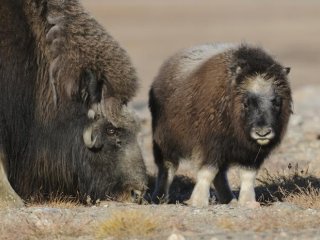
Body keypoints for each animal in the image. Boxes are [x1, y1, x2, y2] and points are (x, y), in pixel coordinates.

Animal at [150, 43, 292, 208]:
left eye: (276, 102)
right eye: (246, 103)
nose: (262, 133)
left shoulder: (251, 153)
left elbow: (248, 175)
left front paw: (248, 202)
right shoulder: (211, 145)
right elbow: (207, 172)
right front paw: (199, 201)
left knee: (221, 174)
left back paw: (229, 199)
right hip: (165, 140)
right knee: (168, 166)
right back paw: (159, 198)